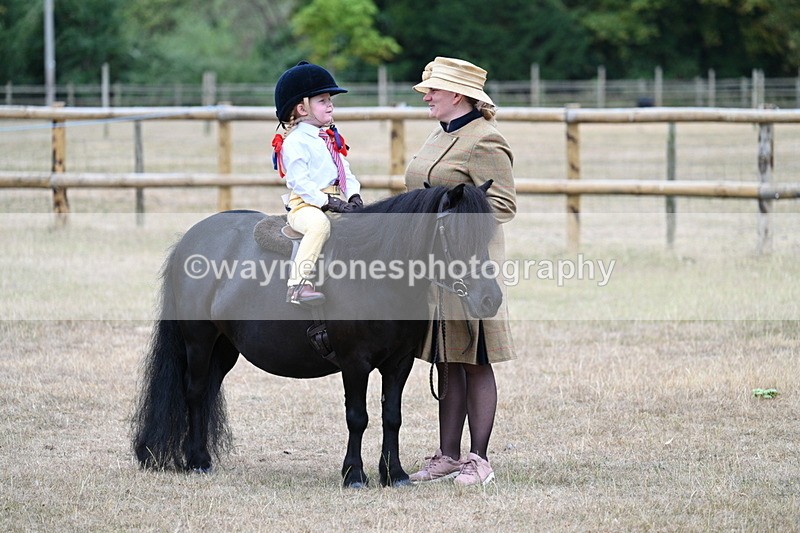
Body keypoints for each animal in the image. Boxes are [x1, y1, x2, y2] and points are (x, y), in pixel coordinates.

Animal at [131, 181, 502, 488]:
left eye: (488, 236)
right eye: (456, 232)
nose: (491, 299)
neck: (375, 272)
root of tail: (190, 239)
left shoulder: (399, 363)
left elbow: (392, 417)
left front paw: (394, 474)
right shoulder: (354, 363)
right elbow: (358, 417)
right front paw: (354, 475)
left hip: (223, 350)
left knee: (207, 390)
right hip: (199, 342)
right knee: (194, 393)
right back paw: (197, 461)